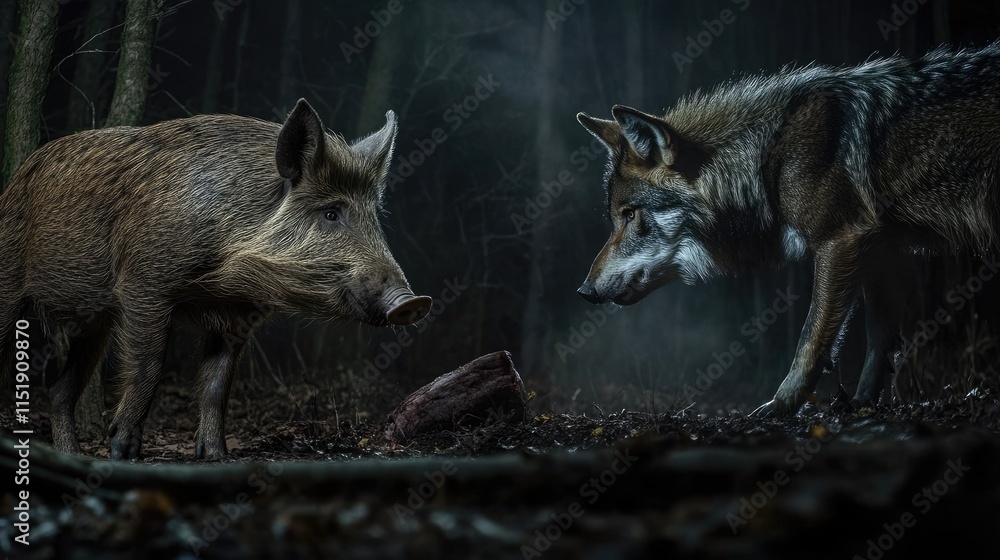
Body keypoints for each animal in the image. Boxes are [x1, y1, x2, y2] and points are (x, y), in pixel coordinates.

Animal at [0, 99, 431, 460]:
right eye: (330, 213)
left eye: (374, 217)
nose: (414, 302)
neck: (226, 278)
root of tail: (15, 176)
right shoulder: (143, 284)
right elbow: (149, 365)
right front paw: (123, 452)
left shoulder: (236, 316)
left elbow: (216, 386)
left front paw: (215, 457)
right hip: (11, 281)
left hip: (96, 322)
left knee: (58, 391)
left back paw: (71, 455)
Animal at [575, 42, 1000, 415]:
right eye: (615, 217)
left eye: (630, 214)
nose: (584, 291)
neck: (767, 155)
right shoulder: (882, 251)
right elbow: (880, 342)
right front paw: (862, 404)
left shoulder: (840, 240)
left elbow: (810, 340)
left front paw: (782, 405)